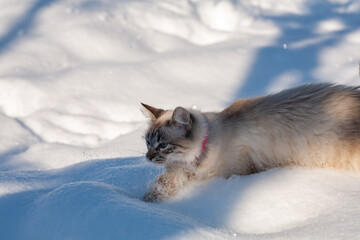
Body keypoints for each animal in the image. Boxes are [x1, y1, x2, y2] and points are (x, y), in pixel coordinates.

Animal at [141, 83, 360, 202]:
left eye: (163, 145)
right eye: (148, 143)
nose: (148, 157)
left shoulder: (234, 170)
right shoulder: (178, 172)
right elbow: (159, 188)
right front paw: (143, 205)